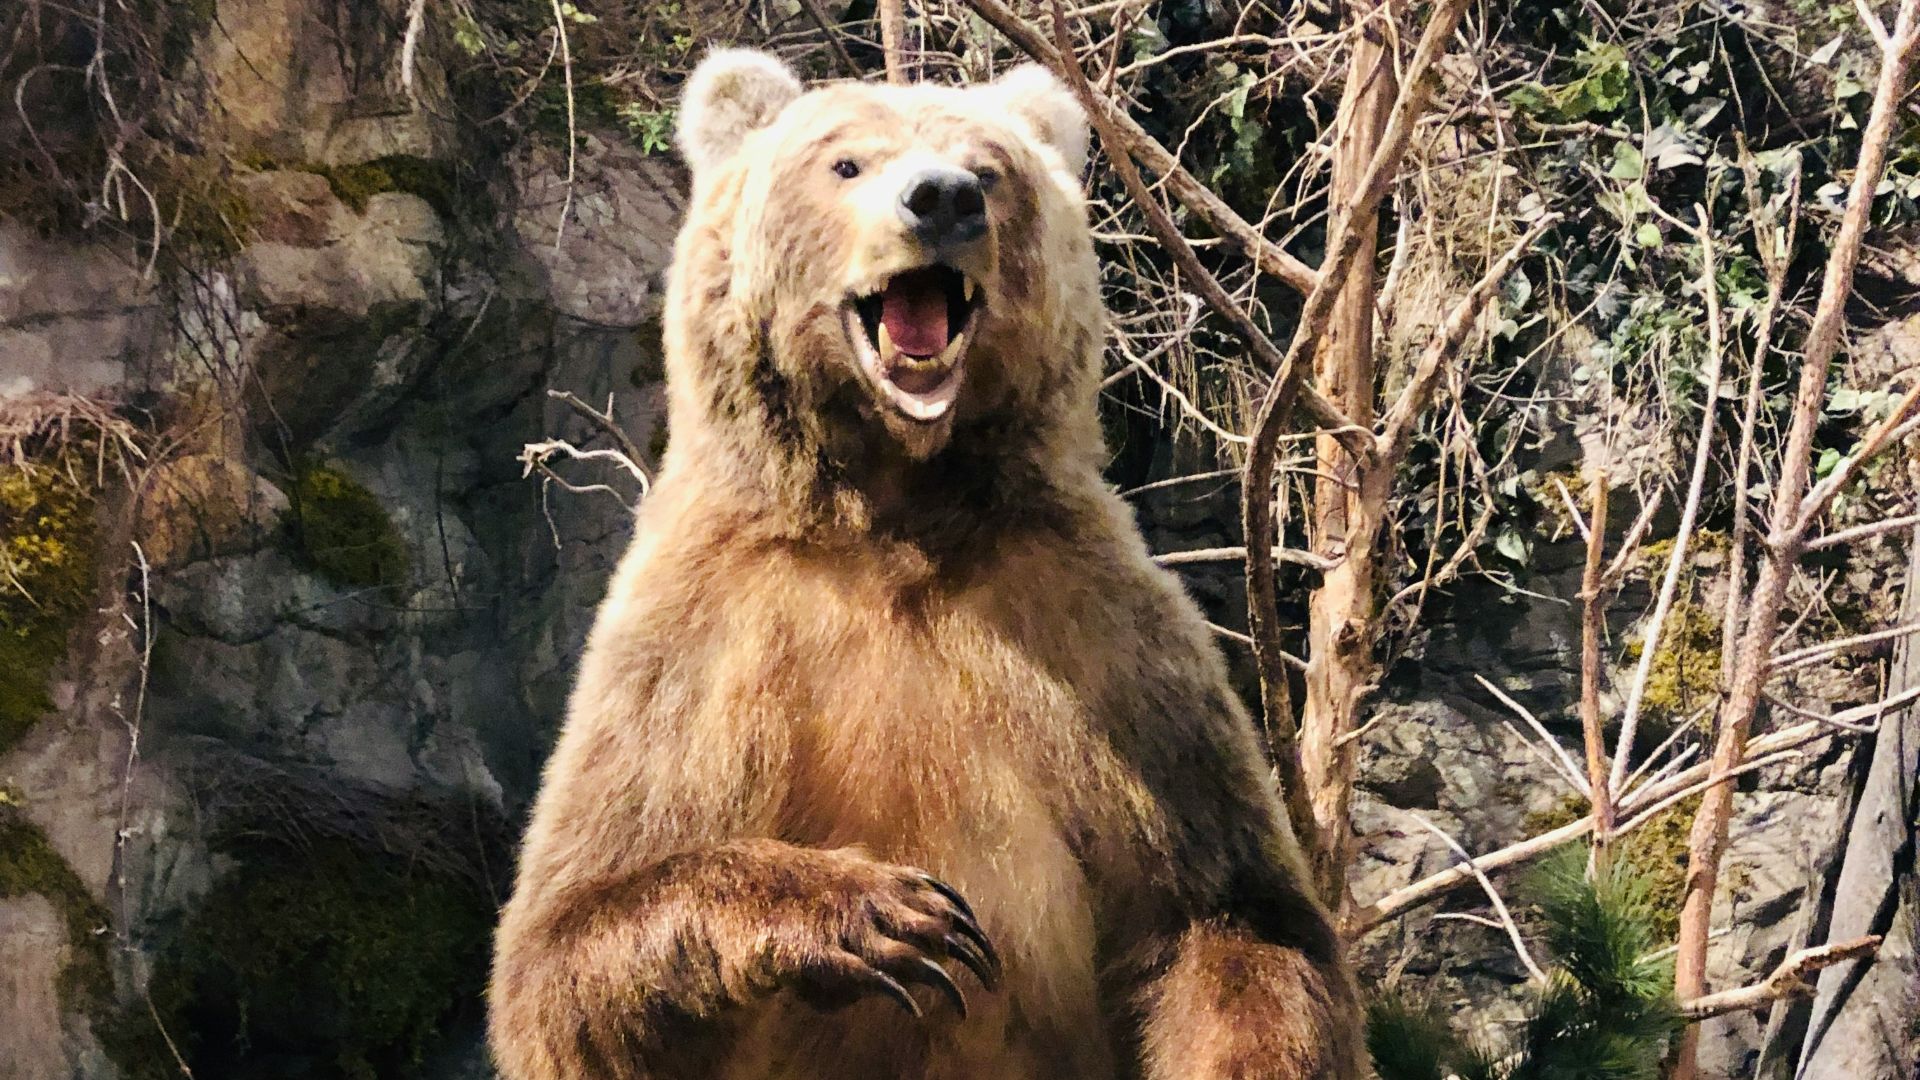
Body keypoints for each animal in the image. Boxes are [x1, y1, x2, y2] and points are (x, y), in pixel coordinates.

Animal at [487, 49, 1361, 1080]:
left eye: (989, 169)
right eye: (847, 162)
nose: (941, 199)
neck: (897, 508)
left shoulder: (1097, 634)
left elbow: (1226, 914)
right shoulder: (702, 636)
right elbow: (569, 940)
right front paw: (887, 916)